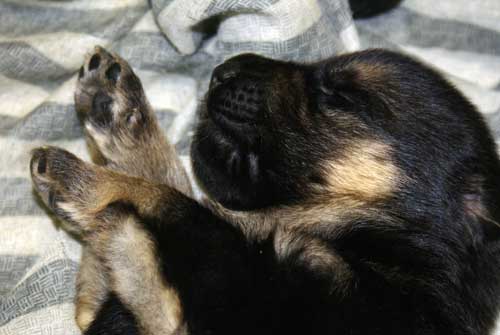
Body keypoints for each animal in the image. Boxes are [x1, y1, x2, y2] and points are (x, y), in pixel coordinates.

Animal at [29, 47, 500, 335]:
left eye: (339, 95)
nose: (222, 70)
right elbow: (169, 189)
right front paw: (117, 113)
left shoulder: (225, 295)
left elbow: (174, 203)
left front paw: (85, 182)